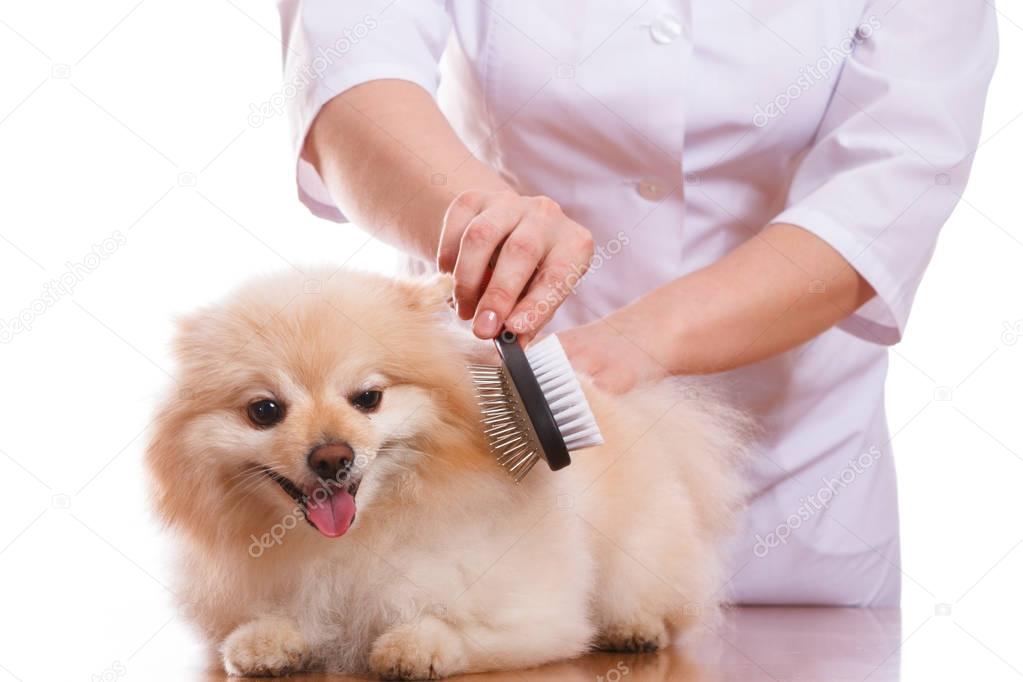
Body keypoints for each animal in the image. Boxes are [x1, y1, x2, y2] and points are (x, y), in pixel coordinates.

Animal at [144, 267, 748, 678]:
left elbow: (455, 627)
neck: (362, 536)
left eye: (368, 398)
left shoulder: (535, 615)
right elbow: (266, 625)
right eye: (265, 410)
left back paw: (635, 628)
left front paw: (413, 646)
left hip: (637, 555)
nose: (332, 457)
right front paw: (264, 642)